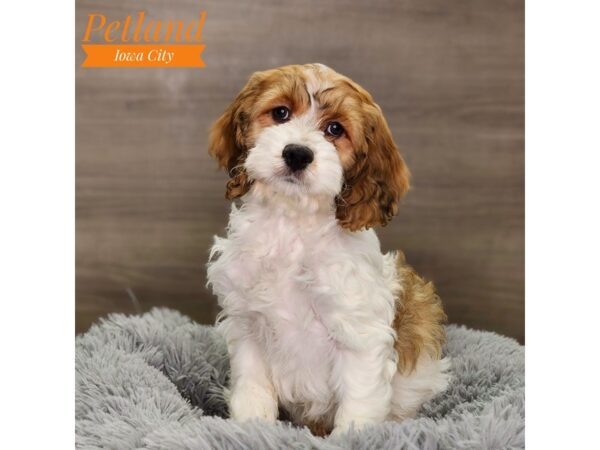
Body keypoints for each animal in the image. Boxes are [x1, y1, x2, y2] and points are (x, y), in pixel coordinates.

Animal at [207, 63, 450, 436]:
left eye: (335, 129)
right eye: (281, 113)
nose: (297, 153)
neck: (292, 224)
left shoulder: (359, 334)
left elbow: (358, 401)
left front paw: (354, 438)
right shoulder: (248, 324)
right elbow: (252, 386)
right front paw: (251, 429)